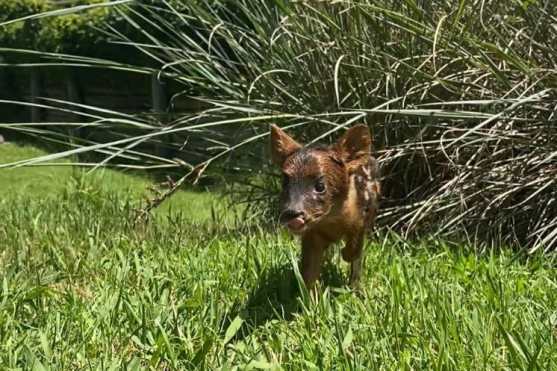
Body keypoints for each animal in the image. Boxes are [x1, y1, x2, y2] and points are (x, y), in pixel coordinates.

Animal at [268, 123, 380, 290]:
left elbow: (354, 252)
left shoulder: (362, 220)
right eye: (285, 182)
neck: (332, 221)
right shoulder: (311, 235)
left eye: (320, 186)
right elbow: (309, 273)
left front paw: (345, 256)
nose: (292, 213)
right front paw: (311, 296)